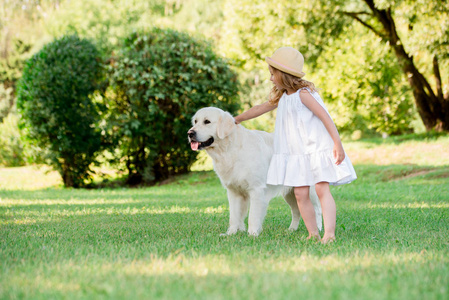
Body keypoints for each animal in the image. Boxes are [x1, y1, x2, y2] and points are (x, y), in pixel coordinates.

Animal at [187, 106, 320, 236]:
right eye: (195, 121)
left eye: (207, 121)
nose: (189, 133)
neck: (231, 150)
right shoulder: (233, 191)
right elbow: (234, 216)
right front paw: (231, 233)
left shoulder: (256, 189)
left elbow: (253, 216)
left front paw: (252, 234)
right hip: (290, 193)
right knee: (296, 210)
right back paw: (291, 229)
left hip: (310, 192)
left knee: (317, 209)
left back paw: (317, 229)